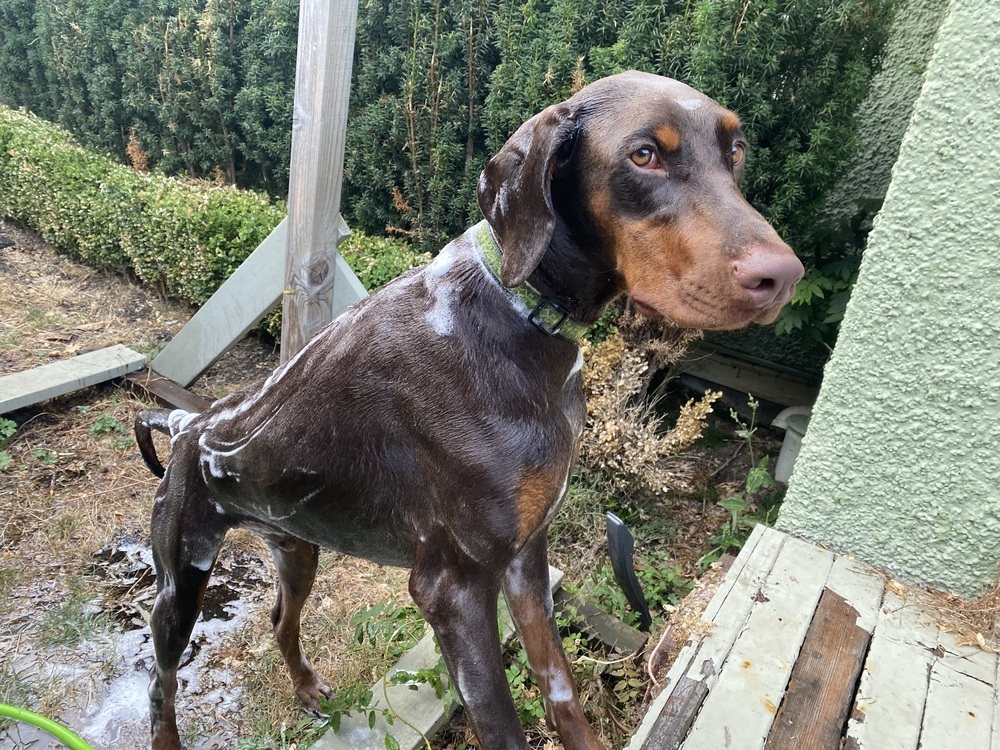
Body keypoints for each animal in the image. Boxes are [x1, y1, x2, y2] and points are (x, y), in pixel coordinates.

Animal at [135, 72, 804, 750]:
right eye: (644, 155)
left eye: (736, 150)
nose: (784, 276)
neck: (519, 312)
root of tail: (189, 424)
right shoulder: (452, 590)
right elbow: (504, 727)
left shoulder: (528, 560)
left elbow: (561, 689)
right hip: (181, 579)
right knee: (160, 684)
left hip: (297, 544)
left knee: (279, 619)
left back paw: (305, 687)